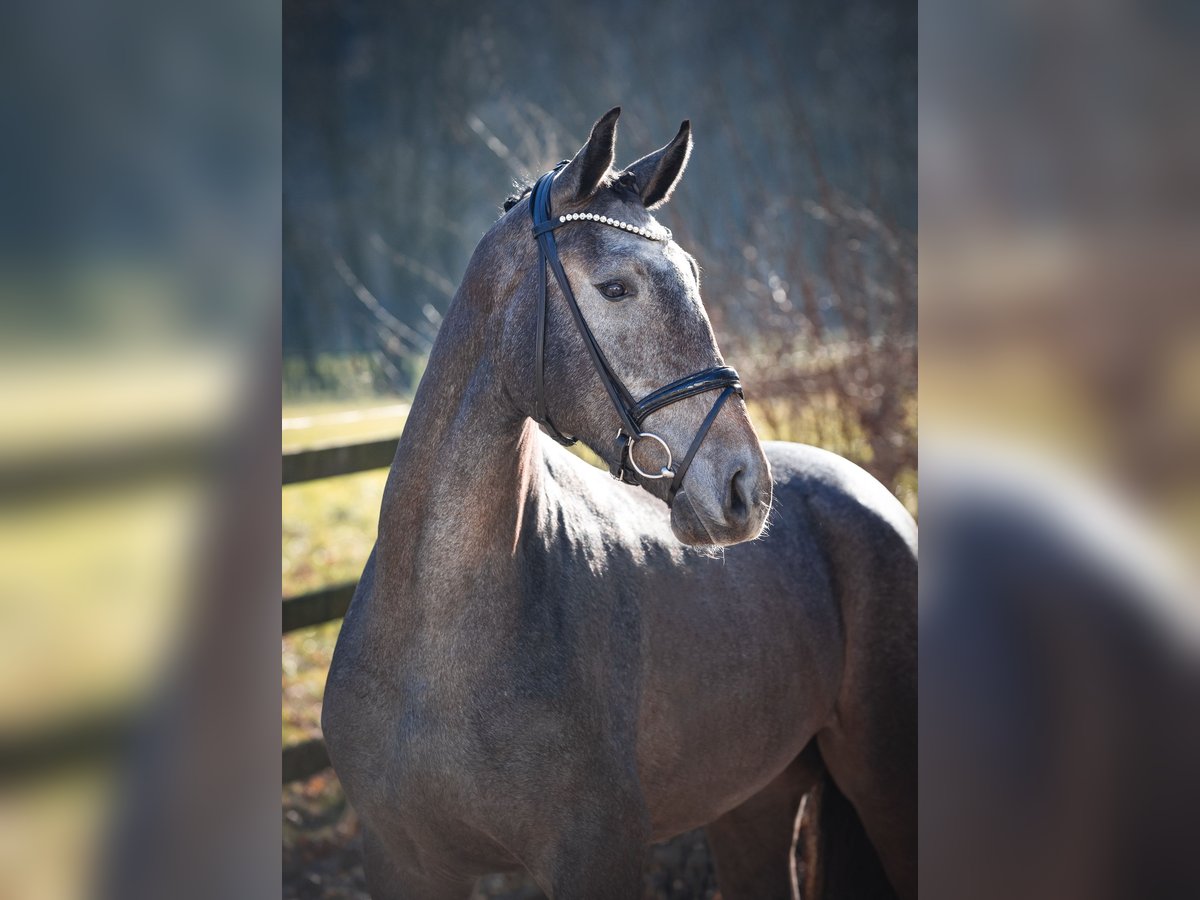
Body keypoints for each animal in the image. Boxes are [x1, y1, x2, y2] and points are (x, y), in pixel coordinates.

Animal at [324, 109, 912, 897]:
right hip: (755, 801)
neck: (436, 639)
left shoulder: (596, 857)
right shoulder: (401, 861)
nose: (746, 489)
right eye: (614, 289)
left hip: (885, 785)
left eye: (692, 277)